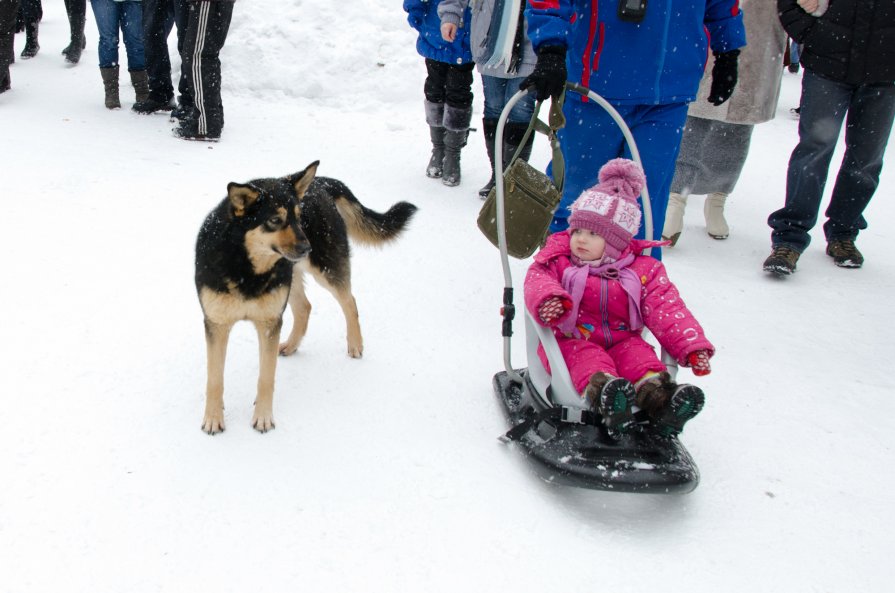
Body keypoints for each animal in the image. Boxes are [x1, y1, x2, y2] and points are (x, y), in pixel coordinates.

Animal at [195, 162, 416, 434]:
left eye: (299, 218)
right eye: (275, 220)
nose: (307, 247)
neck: (246, 267)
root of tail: (322, 182)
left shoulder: (269, 323)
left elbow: (266, 377)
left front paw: (263, 417)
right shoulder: (216, 324)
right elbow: (214, 379)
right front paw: (213, 418)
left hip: (325, 269)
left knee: (349, 302)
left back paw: (355, 344)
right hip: (293, 274)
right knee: (305, 307)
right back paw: (292, 345)